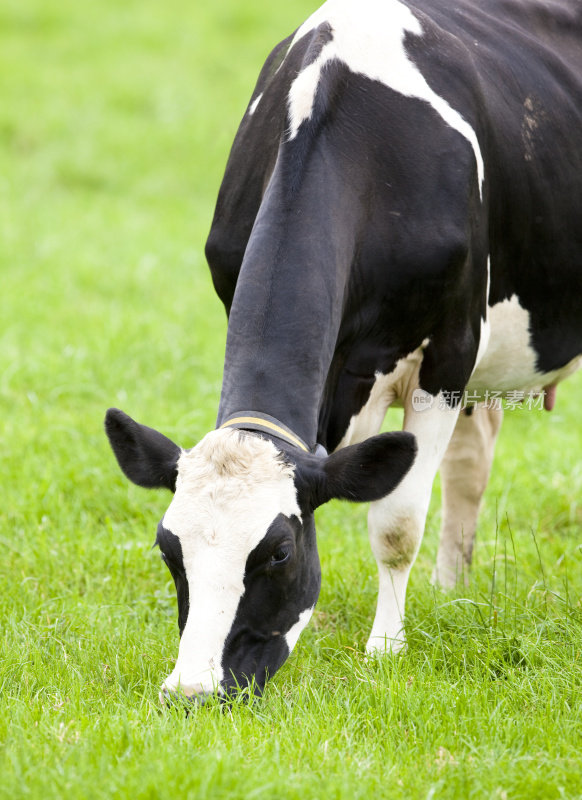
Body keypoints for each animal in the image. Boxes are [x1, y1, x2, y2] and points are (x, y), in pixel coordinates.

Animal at [105, 0, 582, 700]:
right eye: (170, 549)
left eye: (277, 553)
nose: (192, 691)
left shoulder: (449, 351)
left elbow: (397, 521)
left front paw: (385, 648)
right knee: (473, 459)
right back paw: (451, 589)